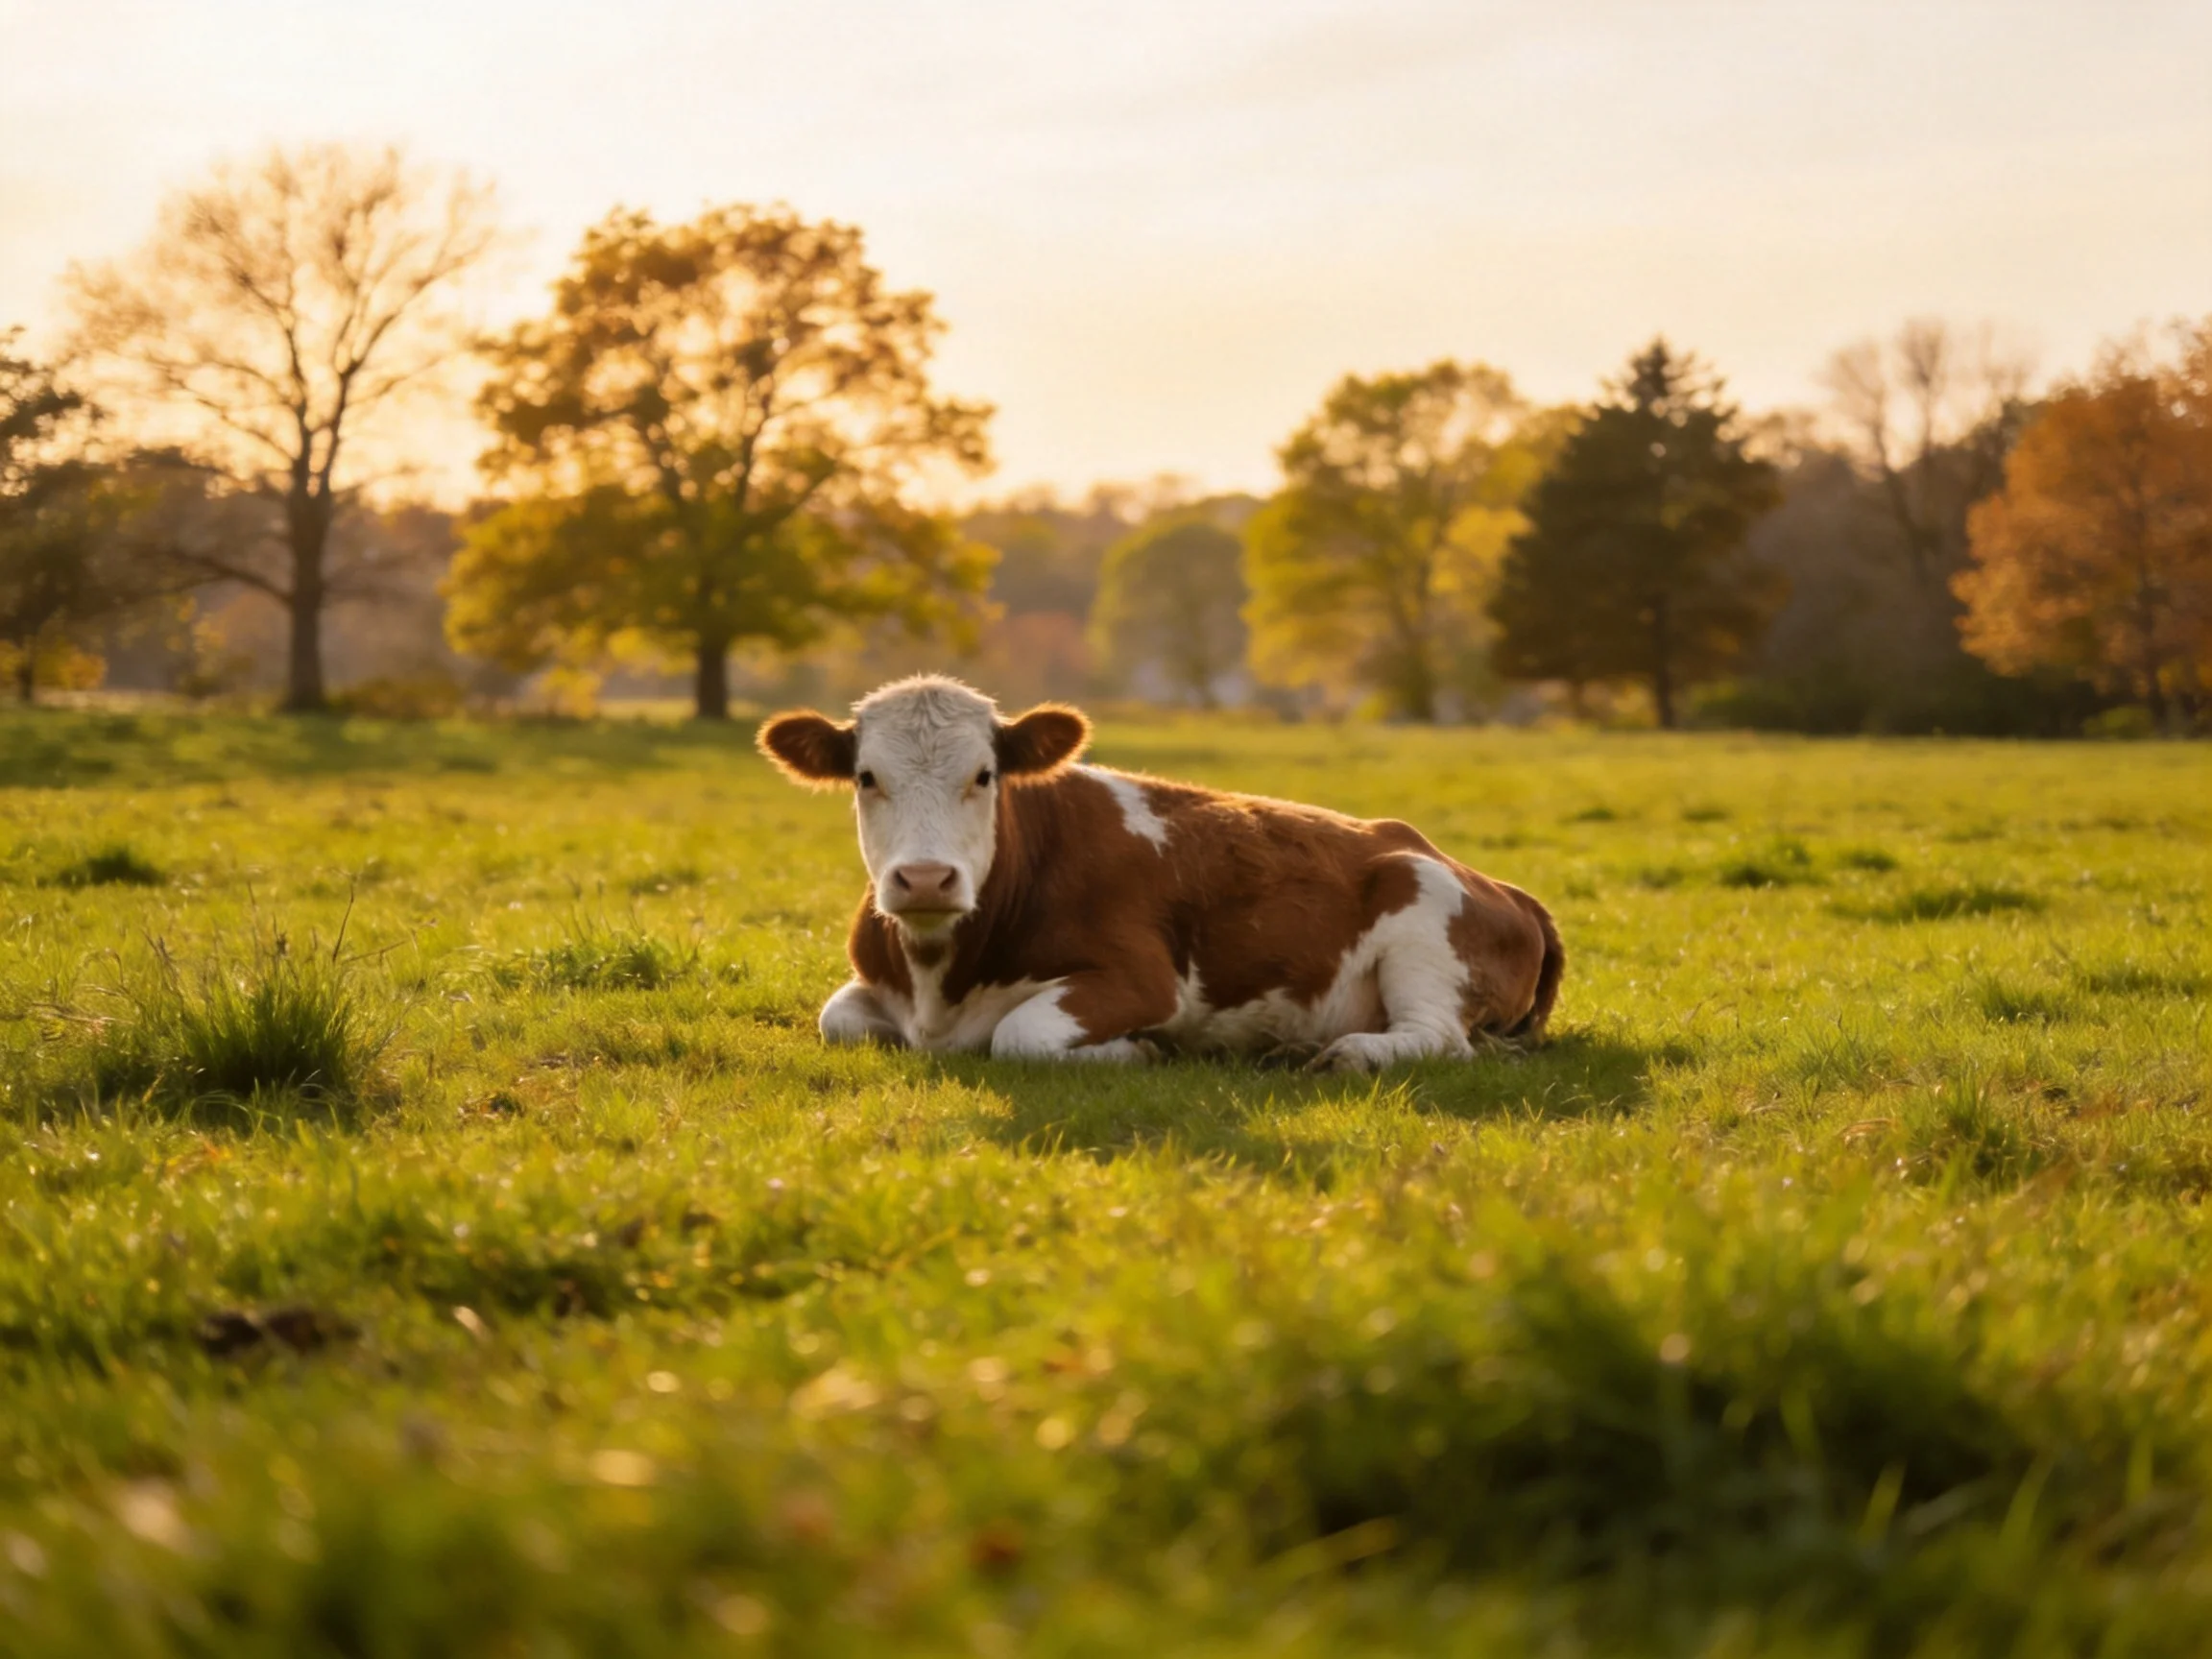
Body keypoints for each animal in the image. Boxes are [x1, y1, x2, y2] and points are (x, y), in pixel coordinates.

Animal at [757, 676, 1563, 1073]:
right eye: (866, 777)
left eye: (984, 775)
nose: (925, 879)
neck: (938, 988)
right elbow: (838, 1021)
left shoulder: (1143, 979)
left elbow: (1021, 1035)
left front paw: (1136, 1051)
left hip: (1422, 920)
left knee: (1439, 1038)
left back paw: (1348, 1055)